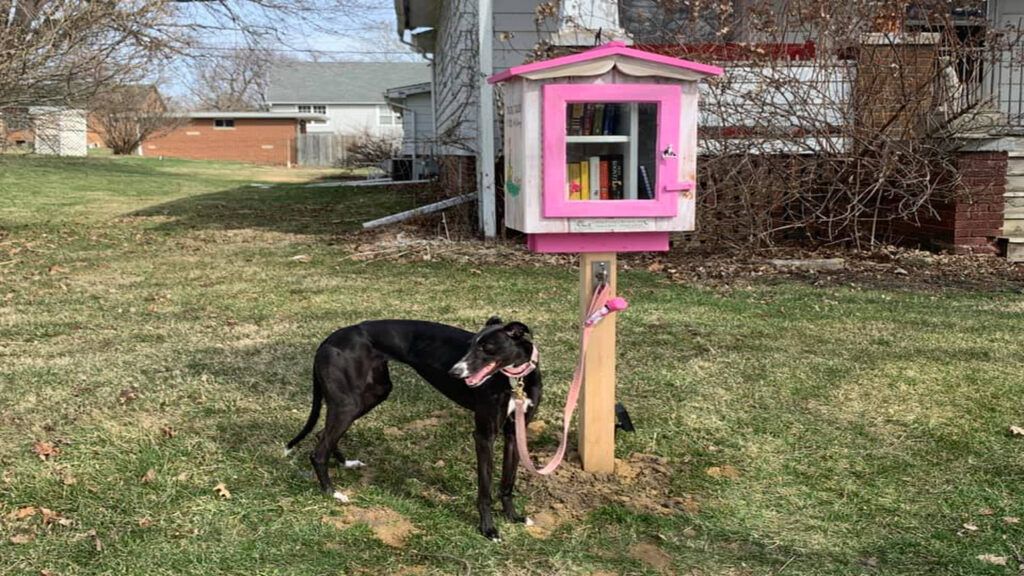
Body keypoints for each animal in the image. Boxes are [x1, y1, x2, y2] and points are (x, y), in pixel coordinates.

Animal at [286, 315, 544, 537]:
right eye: (470, 345)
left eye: (487, 348)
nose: (454, 372)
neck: (515, 379)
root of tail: (327, 340)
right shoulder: (484, 435)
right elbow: (485, 490)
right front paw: (488, 530)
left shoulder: (515, 434)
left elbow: (507, 483)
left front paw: (514, 518)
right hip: (349, 402)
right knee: (319, 451)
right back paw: (333, 493)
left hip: (372, 394)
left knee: (323, 434)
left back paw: (345, 463)